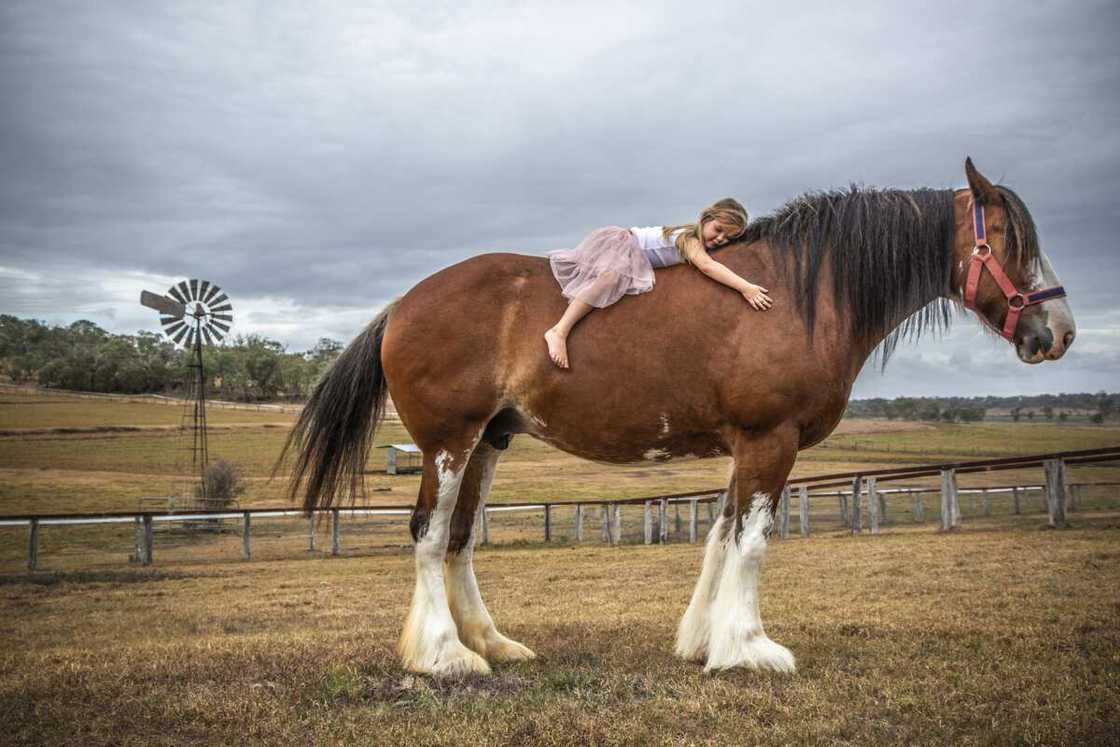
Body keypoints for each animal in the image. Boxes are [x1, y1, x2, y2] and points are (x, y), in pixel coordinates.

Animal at [282, 161, 1075, 680]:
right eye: (1009, 241)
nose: (1059, 331)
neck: (802, 292)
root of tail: (404, 304)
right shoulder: (770, 440)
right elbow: (752, 544)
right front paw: (752, 648)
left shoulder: (747, 447)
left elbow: (721, 539)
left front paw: (705, 642)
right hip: (449, 442)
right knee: (425, 535)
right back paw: (445, 657)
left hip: (489, 442)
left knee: (458, 540)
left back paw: (493, 645)